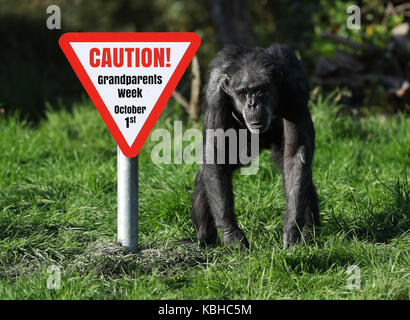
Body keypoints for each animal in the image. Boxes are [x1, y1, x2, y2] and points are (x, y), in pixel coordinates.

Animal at [192, 44, 320, 248]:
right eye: (243, 93)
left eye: (260, 90)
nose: (253, 104)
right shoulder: (215, 94)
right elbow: (216, 153)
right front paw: (231, 235)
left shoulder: (295, 91)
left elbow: (295, 153)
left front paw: (292, 231)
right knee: (211, 173)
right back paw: (204, 239)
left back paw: (309, 235)